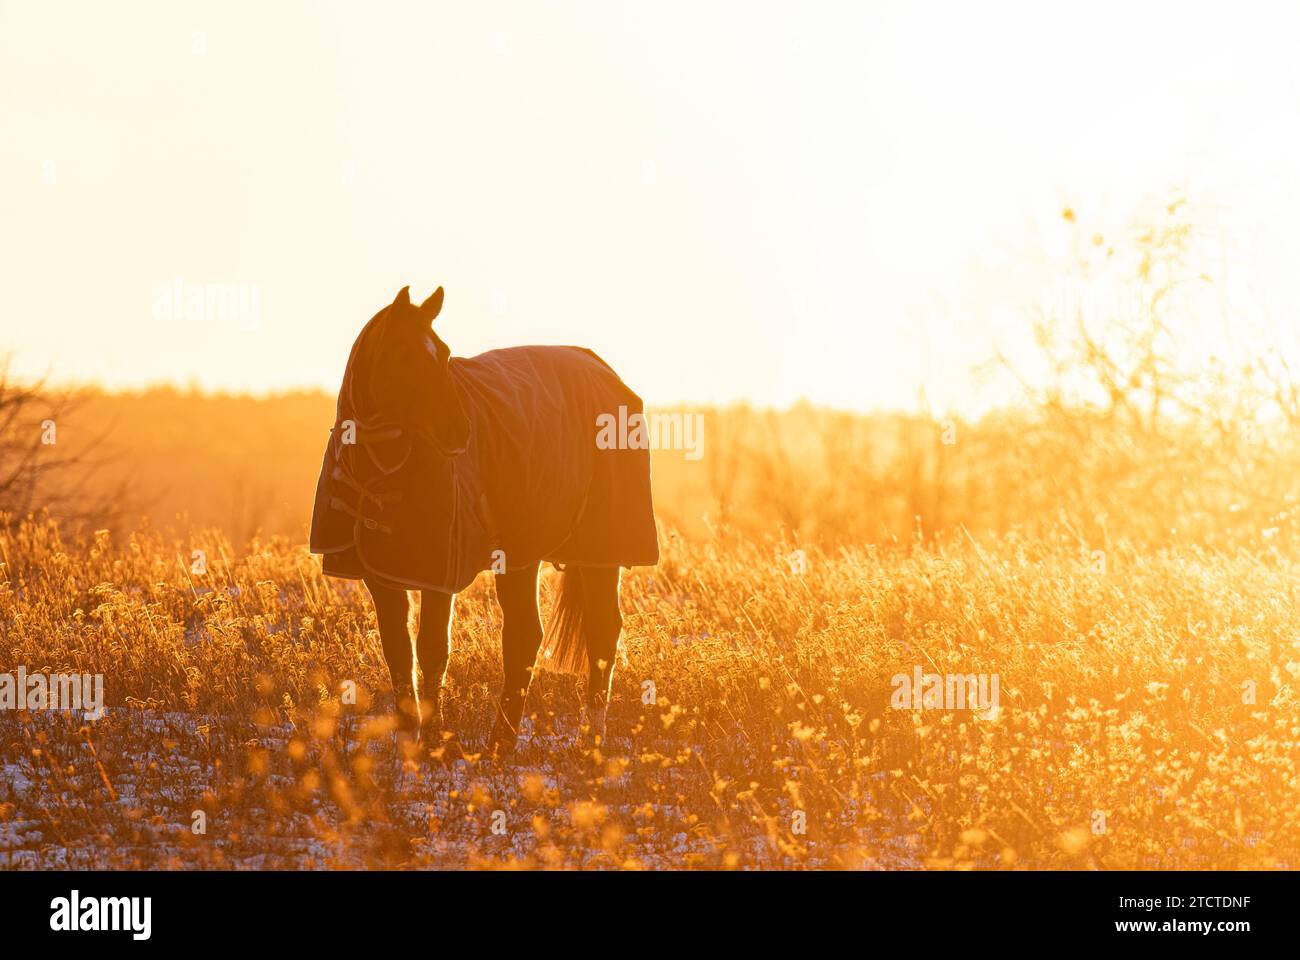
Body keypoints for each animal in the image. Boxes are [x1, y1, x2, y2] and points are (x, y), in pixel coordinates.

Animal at [308, 280, 660, 749]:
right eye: (404, 354)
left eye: (443, 352)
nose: (459, 432)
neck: (380, 467)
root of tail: (604, 370)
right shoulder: (381, 575)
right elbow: (399, 652)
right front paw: (409, 745)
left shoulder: (439, 573)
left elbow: (433, 649)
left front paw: (432, 742)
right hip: (523, 552)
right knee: (526, 635)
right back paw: (502, 745)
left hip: (601, 548)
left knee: (601, 633)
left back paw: (586, 745)